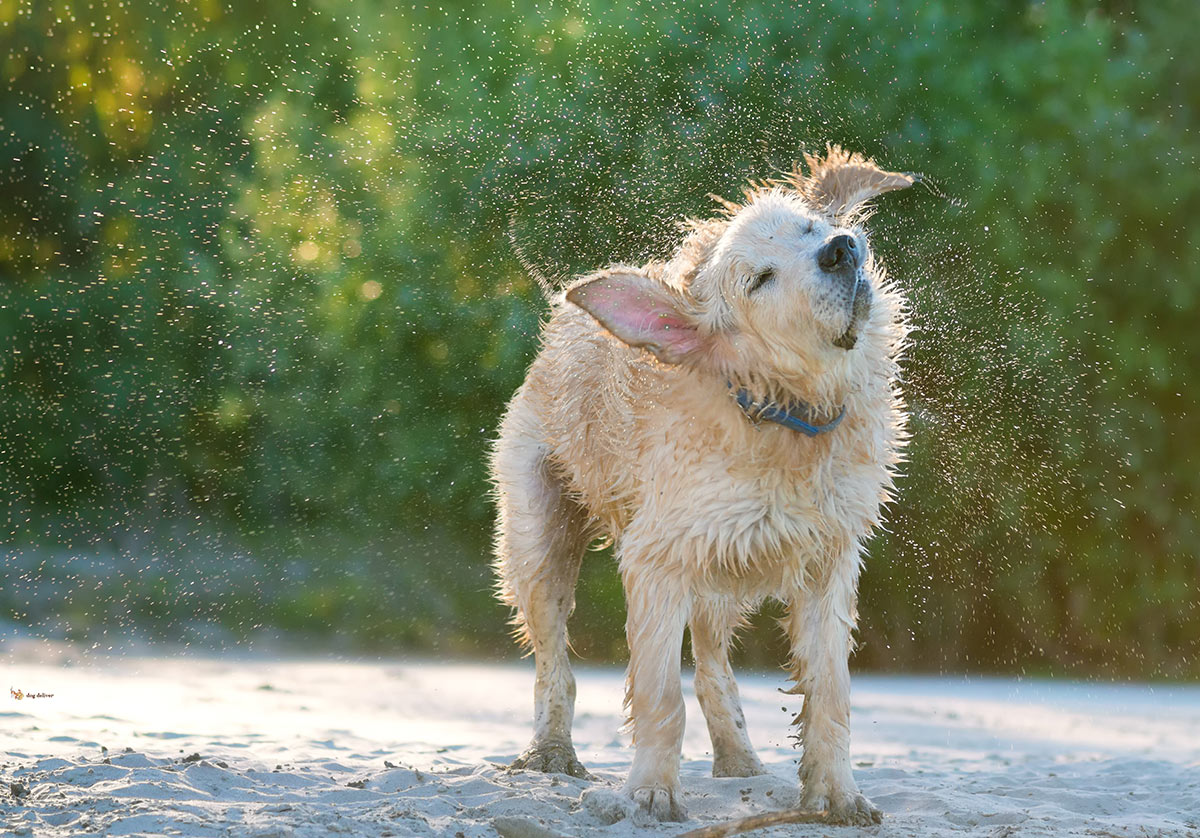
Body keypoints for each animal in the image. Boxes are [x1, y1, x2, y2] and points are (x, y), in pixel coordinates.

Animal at [492, 145, 912, 821]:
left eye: (809, 230)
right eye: (760, 280)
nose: (841, 248)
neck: (784, 415)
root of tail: (557, 329)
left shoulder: (830, 560)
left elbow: (830, 695)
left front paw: (838, 797)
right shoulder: (656, 558)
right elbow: (661, 694)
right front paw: (650, 792)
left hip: (723, 573)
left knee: (715, 665)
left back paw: (738, 759)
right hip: (538, 541)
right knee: (554, 661)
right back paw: (552, 752)